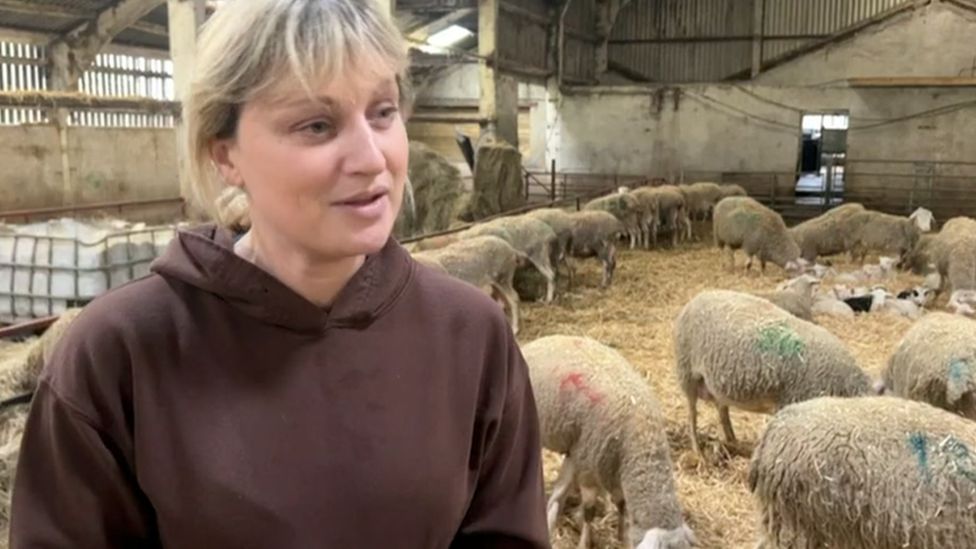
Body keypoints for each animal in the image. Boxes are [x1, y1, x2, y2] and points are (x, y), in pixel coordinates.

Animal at [524, 334, 696, 548]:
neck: (642, 439)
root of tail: (540, 341)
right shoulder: (589, 470)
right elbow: (589, 511)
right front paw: (585, 542)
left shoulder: (612, 468)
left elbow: (621, 504)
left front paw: (622, 535)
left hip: (576, 450)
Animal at [672, 288, 868, 460]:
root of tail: (697, 297)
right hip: (687, 372)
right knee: (692, 415)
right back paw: (698, 451)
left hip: (715, 384)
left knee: (722, 411)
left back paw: (734, 442)